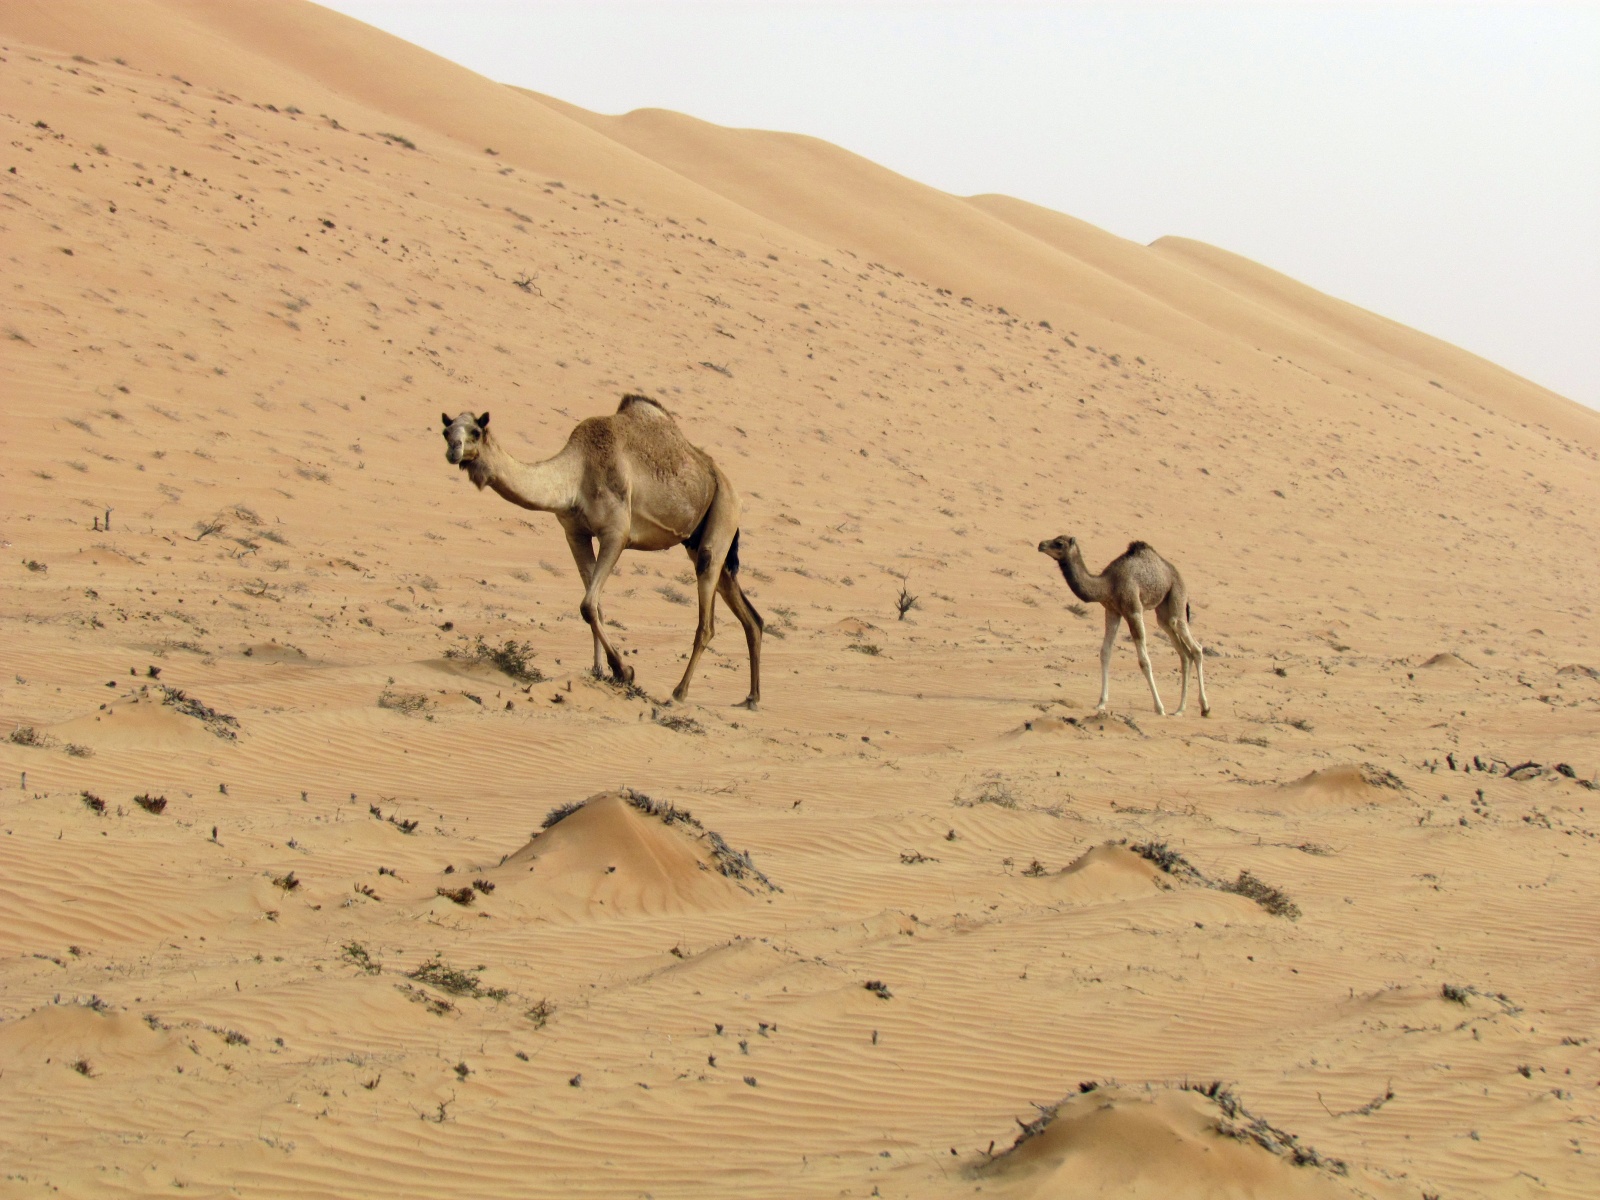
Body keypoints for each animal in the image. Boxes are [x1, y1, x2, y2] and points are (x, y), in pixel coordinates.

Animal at [442, 396, 763, 707]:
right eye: (446, 431)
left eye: (475, 431)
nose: (453, 451)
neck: (575, 475)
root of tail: (733, 491)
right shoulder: (575, 533)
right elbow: (594, 605)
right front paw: (597, 670)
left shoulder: (616, 532)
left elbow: (587, 604)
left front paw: (624, 670)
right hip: (701, 541)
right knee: (750, 614)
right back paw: (751, 697)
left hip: (722, 517)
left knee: (706, 621)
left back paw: (679, 693)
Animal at [1036, 536, 1210, 717]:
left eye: (1059, 543)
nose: (1041, 544)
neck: (1108, 584)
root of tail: (1174, 571)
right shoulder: (1112, 611)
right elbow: (1105, 653)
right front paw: (1101, 703)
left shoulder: (1133, 610)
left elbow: (1144, 661)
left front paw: (1159, 708)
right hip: (1163, 612)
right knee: (1183, 652)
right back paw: (1180, 709)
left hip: (1177, 595)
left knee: (1193, 644)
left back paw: (1204, 708)